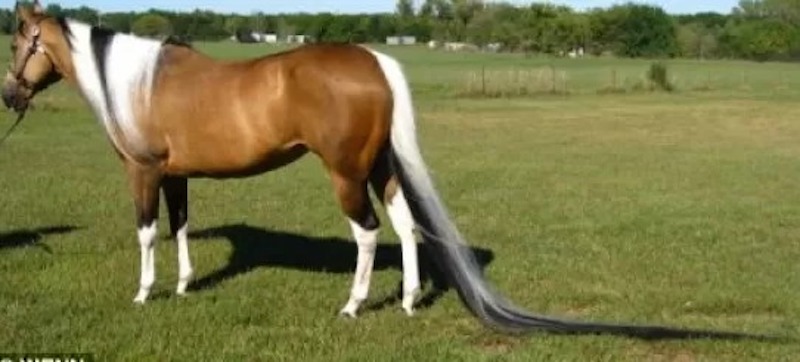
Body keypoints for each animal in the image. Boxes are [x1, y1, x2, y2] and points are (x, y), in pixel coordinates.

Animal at [3, 0, 768, 340]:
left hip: (346, 174)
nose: (10, 96)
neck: (137, 80)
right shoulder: (177, 174)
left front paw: (145, 293)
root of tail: (372, 60)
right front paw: (188, 284)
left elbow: (145, 233)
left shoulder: (141, 170)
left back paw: (354, 304)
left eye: (20, 42)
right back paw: (403, 301)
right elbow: (183, 227)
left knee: (369, 233)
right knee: (404, 229)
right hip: (382, 169)